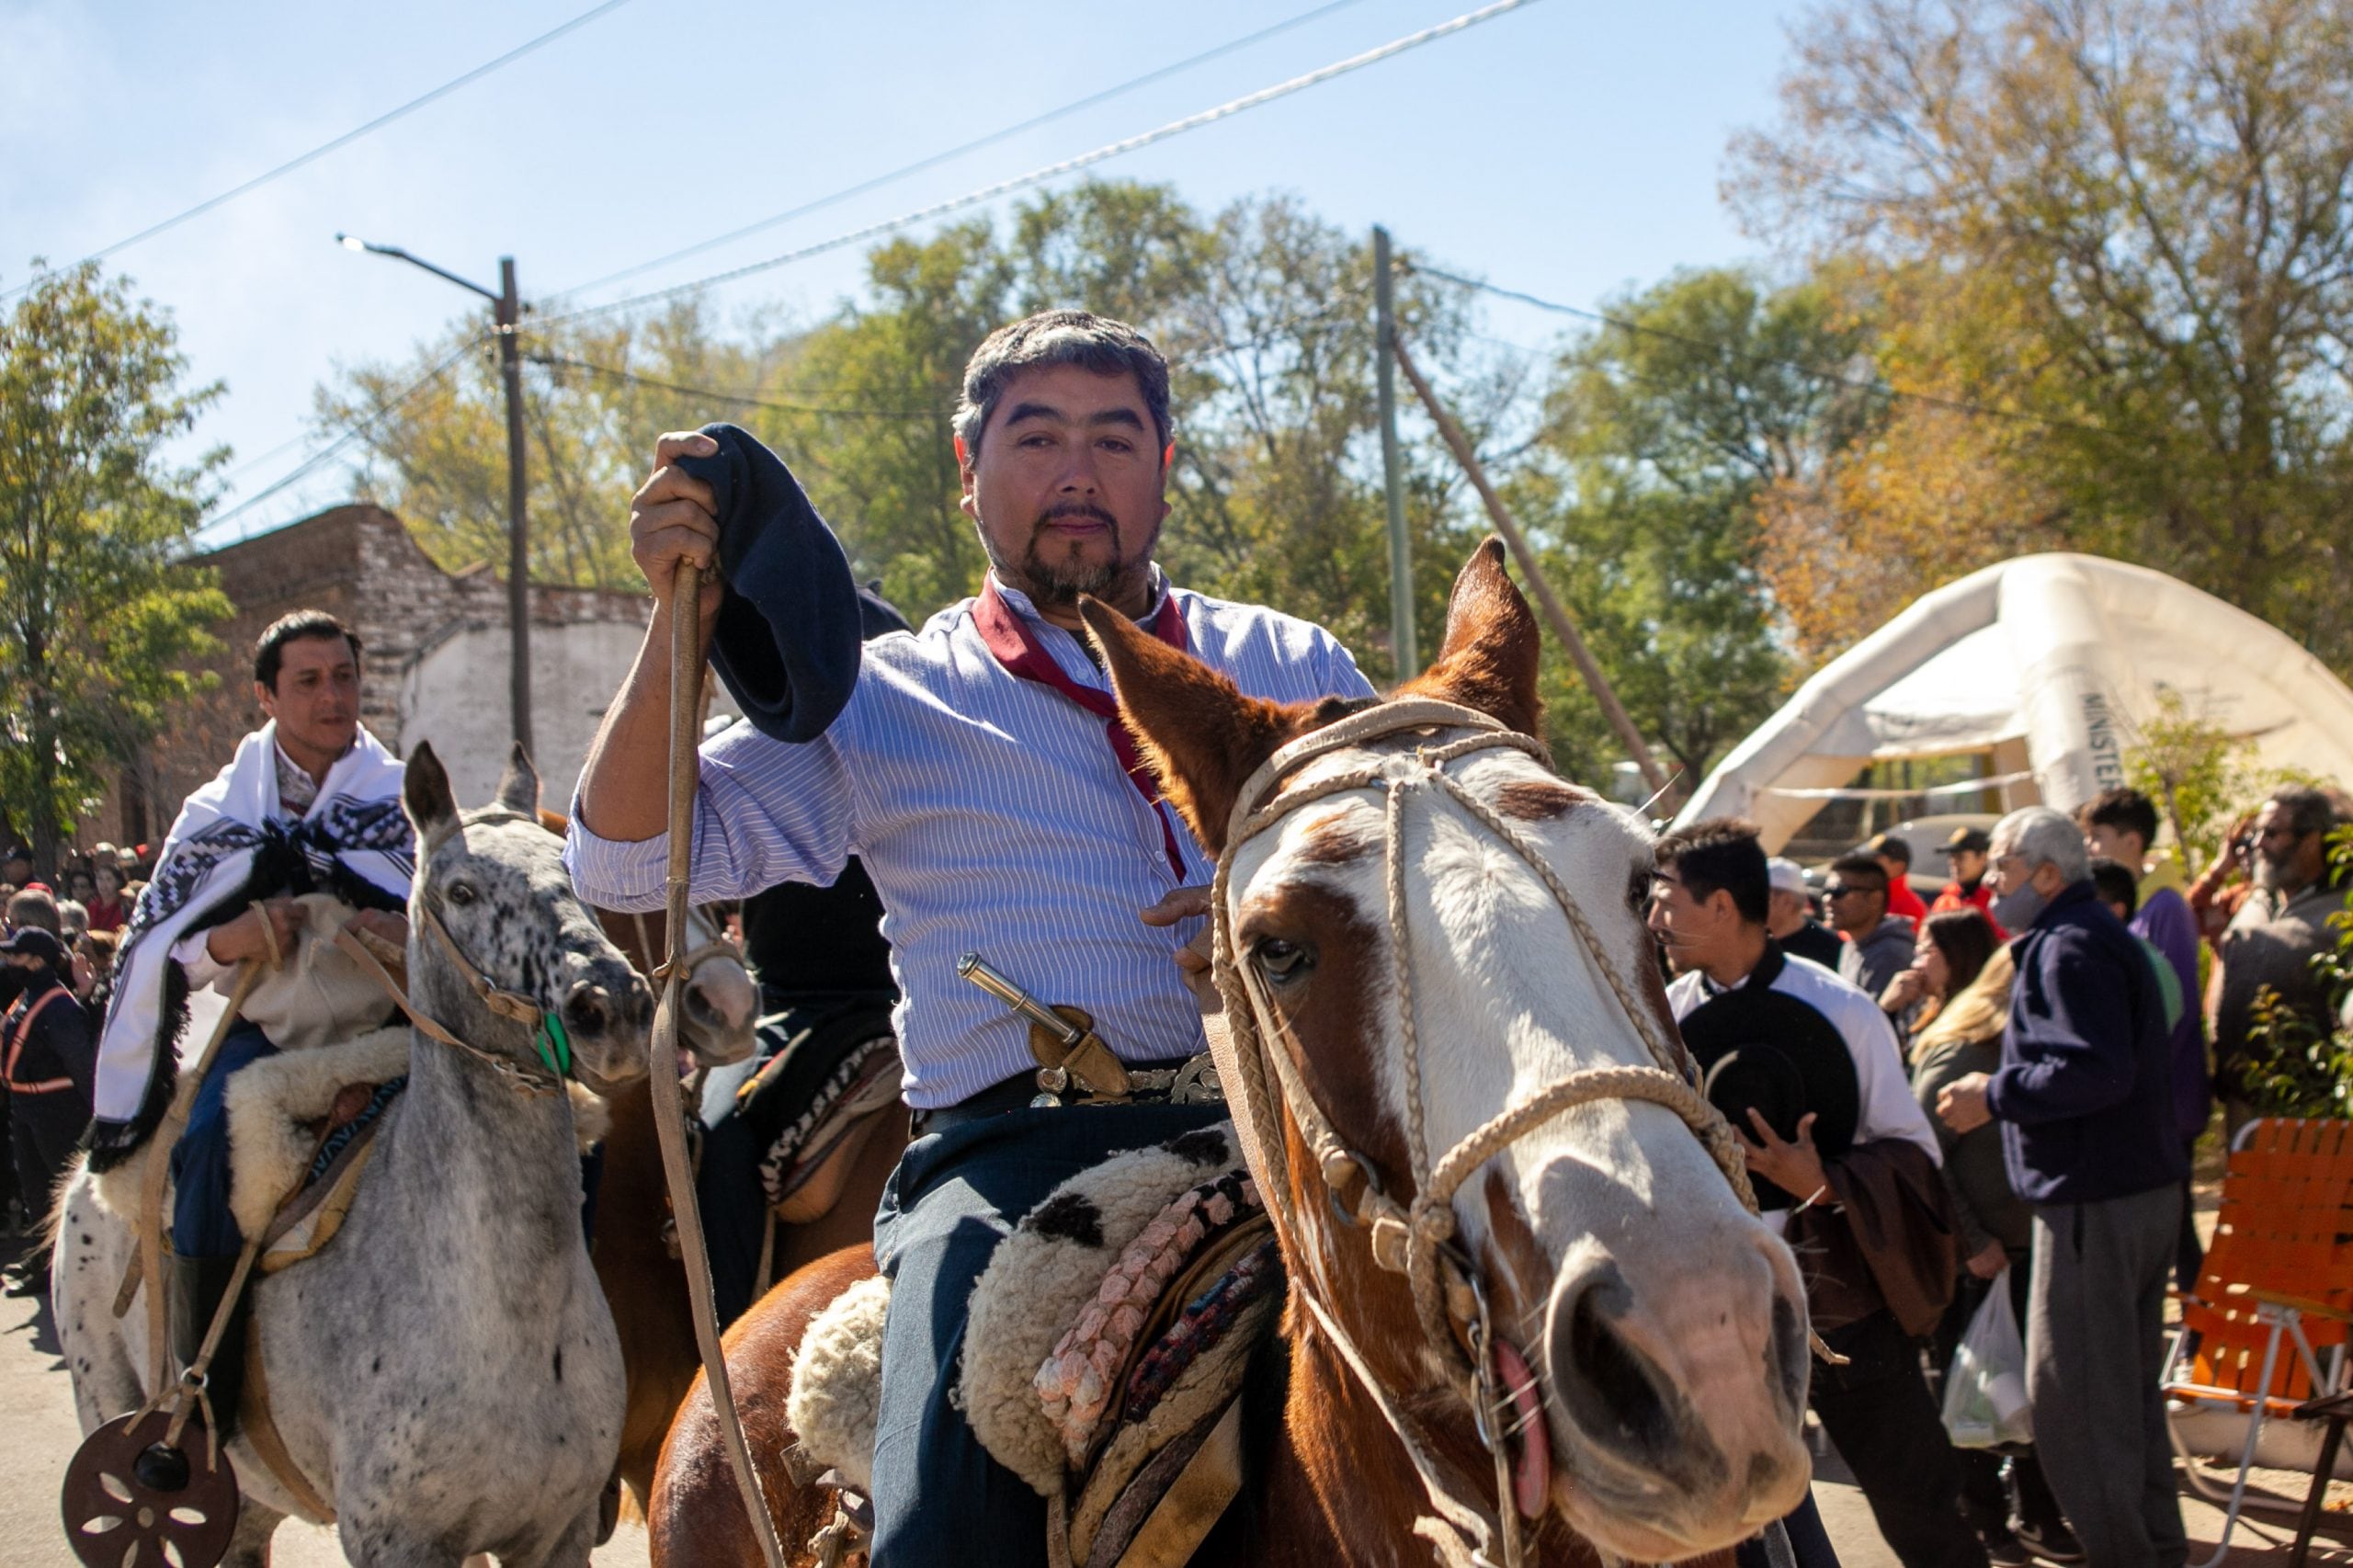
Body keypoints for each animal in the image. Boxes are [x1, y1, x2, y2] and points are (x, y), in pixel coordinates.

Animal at [59, 739, 658, 1553]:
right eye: (462, 891)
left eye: (572, 876)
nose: (613, 1009)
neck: (504, 1316)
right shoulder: (394, 1539)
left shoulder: (552, 1535)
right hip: (106, 1403)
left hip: (250, 1501)